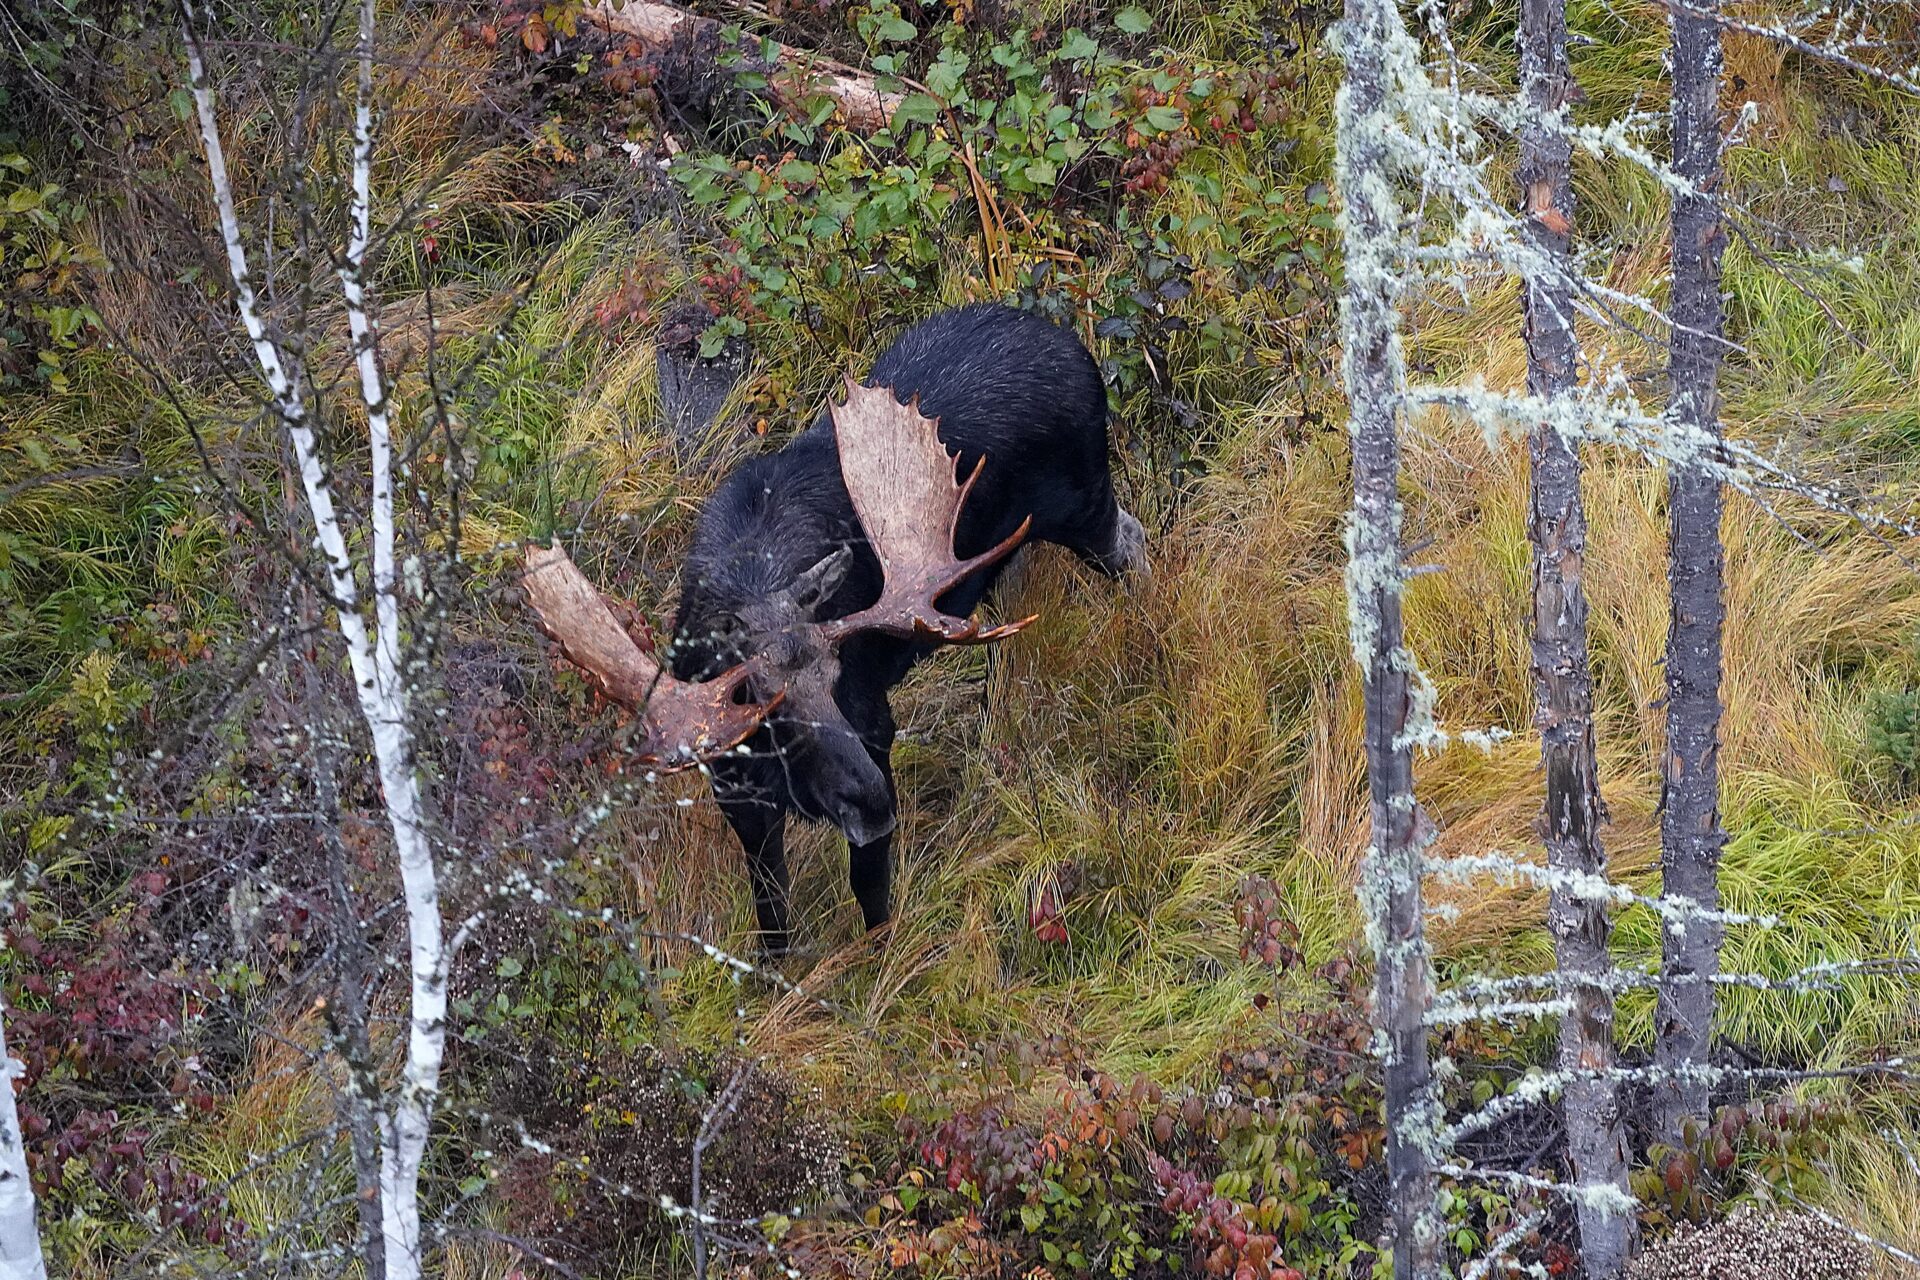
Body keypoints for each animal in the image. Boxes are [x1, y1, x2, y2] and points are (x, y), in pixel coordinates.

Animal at [526, 307, 1136, 951]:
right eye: (762, 701)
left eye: (838, 672)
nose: (870, 802)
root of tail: (1074, 345)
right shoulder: (734, 790)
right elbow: (771, 914)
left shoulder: (875, 728)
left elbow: (871, 894)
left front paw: (879, 961)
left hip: (1084, 503)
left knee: (1132, 542)